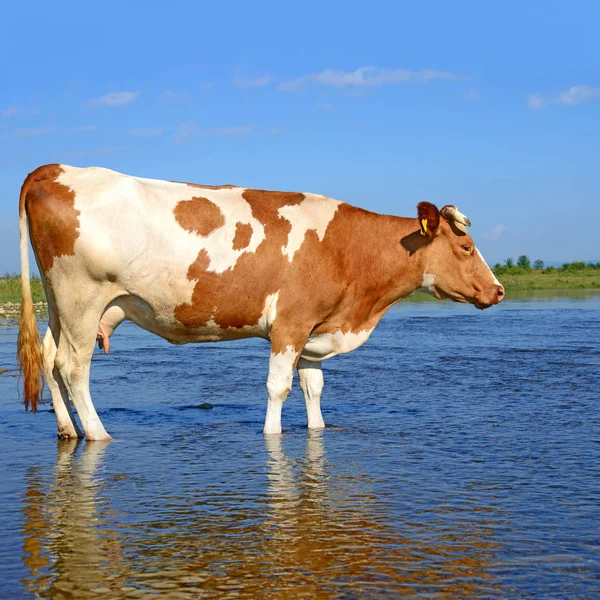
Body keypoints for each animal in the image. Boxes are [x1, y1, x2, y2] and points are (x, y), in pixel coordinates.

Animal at [16, 164, 504, 440]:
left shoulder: (314, 328)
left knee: (49, 356)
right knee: (72, 367)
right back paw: (98, 435)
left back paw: (68, 431)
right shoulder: (289, 323)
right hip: (81, 296)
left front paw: (317, 430)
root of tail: (55, 167)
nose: (498, 289)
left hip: (60, 302)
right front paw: (272, 436)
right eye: (465, 248)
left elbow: (313, 387)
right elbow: (278, 388)